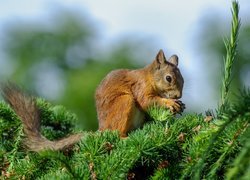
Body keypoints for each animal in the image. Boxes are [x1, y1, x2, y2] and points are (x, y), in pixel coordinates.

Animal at [0, 48, 185, 152]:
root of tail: (101, 130)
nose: (178, 96)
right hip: (124, 102)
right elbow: (147, 100)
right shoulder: (140, 86)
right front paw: (170, 103)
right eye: (168, 78)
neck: (150, 77)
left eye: (182, 79)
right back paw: (124, 138)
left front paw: (179, 105)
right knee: (115, 133)